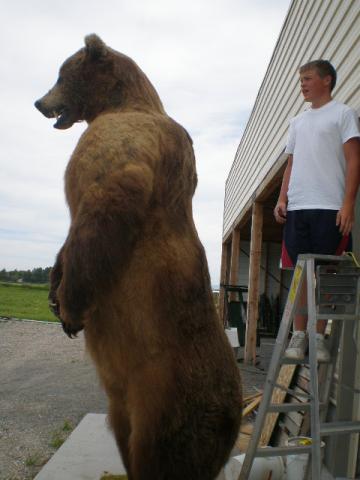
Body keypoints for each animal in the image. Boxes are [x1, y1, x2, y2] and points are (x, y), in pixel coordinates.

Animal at [35, 34, 242, 480]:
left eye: (61, 73)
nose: (39, 102)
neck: (120, 103)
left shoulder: (125, 146)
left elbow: (107, 200)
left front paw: (71, 309)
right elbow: (69, 242)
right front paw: (54, 288)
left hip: (168, 392)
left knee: (160, 451)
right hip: (124, 403)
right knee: (124, 433)